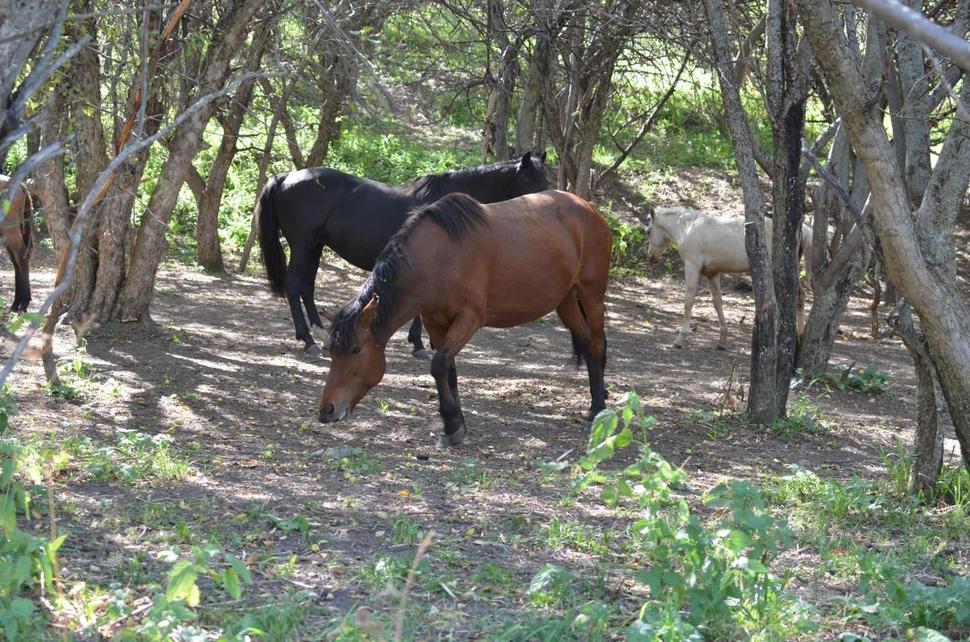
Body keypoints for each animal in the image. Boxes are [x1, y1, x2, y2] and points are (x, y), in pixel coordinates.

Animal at [255, 151, 544, 356]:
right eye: (529, 178)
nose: (545, 202)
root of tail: (285, 177)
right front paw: (420, 344)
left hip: (314, 247)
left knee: (307, 287)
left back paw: (322, 334)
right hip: (303, 246)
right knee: (295, 286)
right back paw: (308, 340)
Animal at [322, 188, 608, 442]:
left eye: (356, 349)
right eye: (331, 350)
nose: (327, 409)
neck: (437, 260)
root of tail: (590, 208)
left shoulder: (469, 319)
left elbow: (438, 364)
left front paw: (451, 424)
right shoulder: (435, 323)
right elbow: (448, 371)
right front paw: (456, 424)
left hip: (591, 294)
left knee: (597, 346)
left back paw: (597, 410)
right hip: (566, 301)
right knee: (585, 342)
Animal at [648, 208, 812, 350]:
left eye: (648, 231)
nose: (651, 257)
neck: (688, 228)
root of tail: (802, 230)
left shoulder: (692, 267)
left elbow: (688, 301)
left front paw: (680, 339)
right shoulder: (712, 274)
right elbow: (717, 303)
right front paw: (722, 341)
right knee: (800, 295)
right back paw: (800, 337)